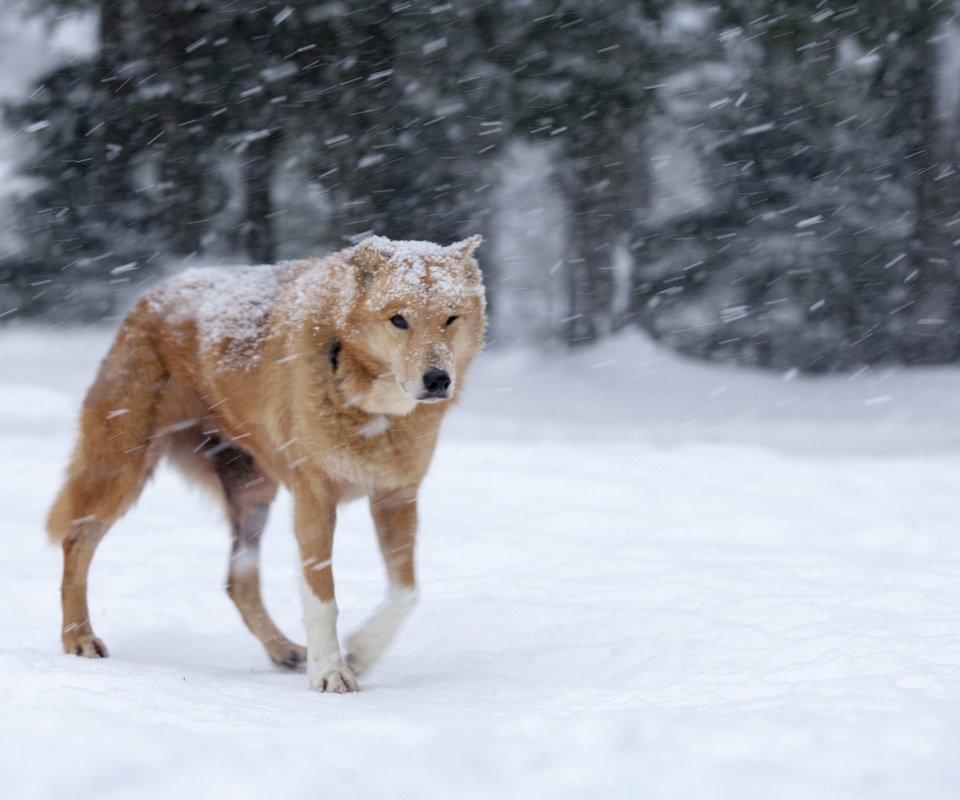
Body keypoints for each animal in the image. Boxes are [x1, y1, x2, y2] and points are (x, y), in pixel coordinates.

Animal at [43, 234, 488, 692]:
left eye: (451, 318)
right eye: (399, 320)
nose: (437, 380)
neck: (369, 406)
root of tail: (151, 295)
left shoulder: (396, 496)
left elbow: (406, 593)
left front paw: (360, 652)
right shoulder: (314, 498)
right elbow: (322, 597)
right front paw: (330, 673)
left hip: (253, 493)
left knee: (238, 582)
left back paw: (284, 650)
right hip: (121, 470)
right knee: (76, 542)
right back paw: (79, 638)